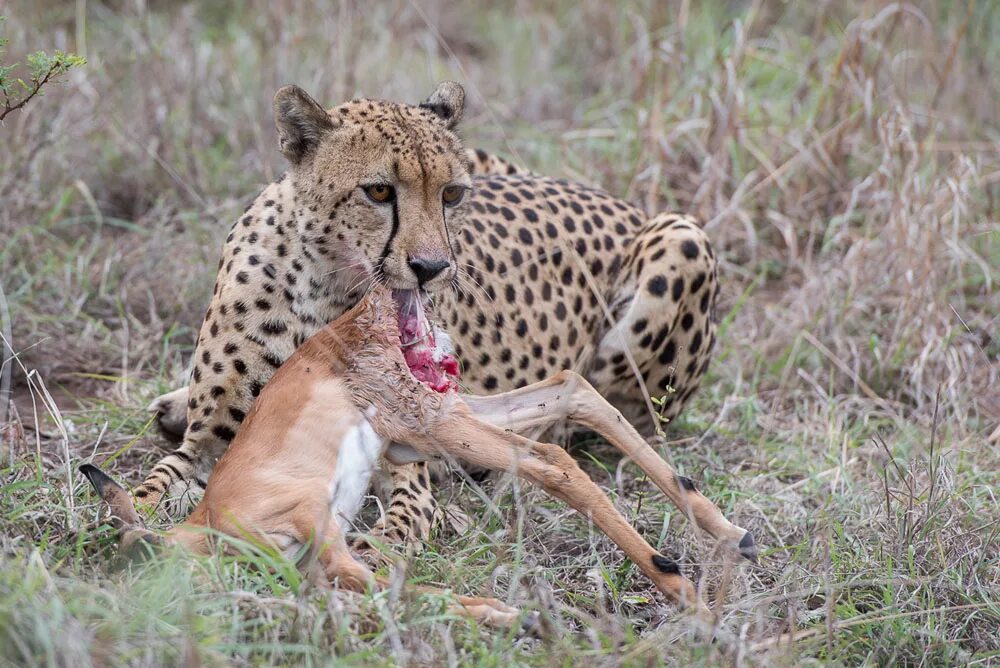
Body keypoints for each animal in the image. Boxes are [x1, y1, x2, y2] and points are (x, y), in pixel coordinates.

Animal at [82, 284, 752, 628]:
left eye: (139, 560)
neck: (214, 524)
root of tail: (383, 303)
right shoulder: (318, 562)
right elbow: (390, 586)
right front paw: (508, 613)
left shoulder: (323, 536)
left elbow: (385, 583)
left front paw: (508, 614)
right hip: (440, 418)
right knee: (573, 390)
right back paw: (730, 536)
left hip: (430, 427)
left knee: (552, 462)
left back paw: (685, 591)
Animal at [139, 83, 720, 552]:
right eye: (378, 191)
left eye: (452, 193)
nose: (432, 268)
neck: (327, 284)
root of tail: (618, 201)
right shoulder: (209, 448)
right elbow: (147, 488)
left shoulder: (405, 464)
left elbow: (398, 527)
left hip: (684, 237)